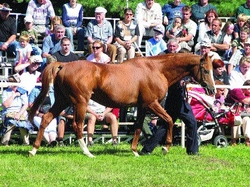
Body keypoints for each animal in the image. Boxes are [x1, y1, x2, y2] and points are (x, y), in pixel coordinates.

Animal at [27, 53, 215, 157]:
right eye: (206, 70)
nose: (212, 89)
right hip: (80, 102)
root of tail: (64, 65)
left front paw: (135, 151)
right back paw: (88, 152)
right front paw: (165, 148)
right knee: (77, 125)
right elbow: (169, 120)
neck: (156, 69)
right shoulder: (151, 103)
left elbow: (138, 127)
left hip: (62, 100)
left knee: (46, 118)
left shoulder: (142, 106)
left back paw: (33, 150)